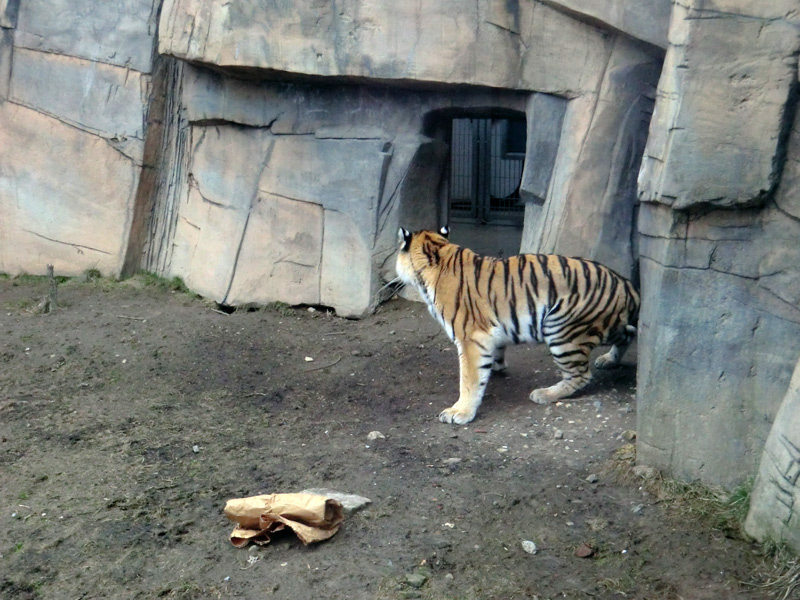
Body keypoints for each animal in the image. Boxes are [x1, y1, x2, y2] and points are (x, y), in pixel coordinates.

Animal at [396, 226, 640, 426]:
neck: (438, 252)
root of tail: (625, 283)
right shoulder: (490, 332)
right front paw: (495, 366)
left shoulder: (471, 337)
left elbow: (469, 378)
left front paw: (460, 412)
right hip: (603, 326)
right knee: (626, 337)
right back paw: (608, 359)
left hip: (562, 331)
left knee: (581, 375)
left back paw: (544, 394)